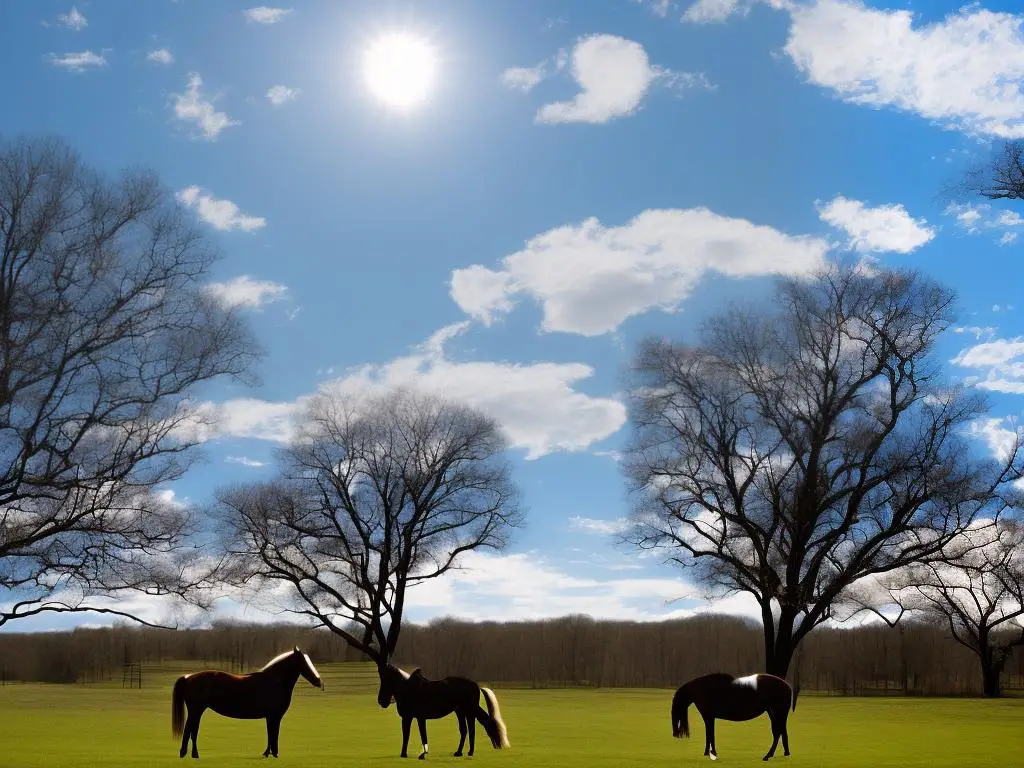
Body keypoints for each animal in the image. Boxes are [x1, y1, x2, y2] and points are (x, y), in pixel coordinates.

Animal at [171, 647, 323, 761]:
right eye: (304, 662)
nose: (319, 681)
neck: (274, 682)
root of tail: (188, 677)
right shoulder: (274, 716)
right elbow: (273, 733)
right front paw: (273, 754)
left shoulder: (271, 717)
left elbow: (271, 733)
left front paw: (268, 753)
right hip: (196, 710)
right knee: (191, 729)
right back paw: (192, 754)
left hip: (196, 711)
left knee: (191, 729)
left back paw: (189, 754)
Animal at [374, 663, 509, 761]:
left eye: (386, 679)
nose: (382, 701)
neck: (407, 689)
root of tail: (475, 685)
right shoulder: (417, 717)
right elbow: (418, 735)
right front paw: (417, 754)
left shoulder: (409, 717)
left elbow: (409, 735)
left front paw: (407, 754)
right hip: (460, 712)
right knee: (466, 729)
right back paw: (460, 752)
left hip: (469, 711)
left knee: (473, 728)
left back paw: (471, 751)